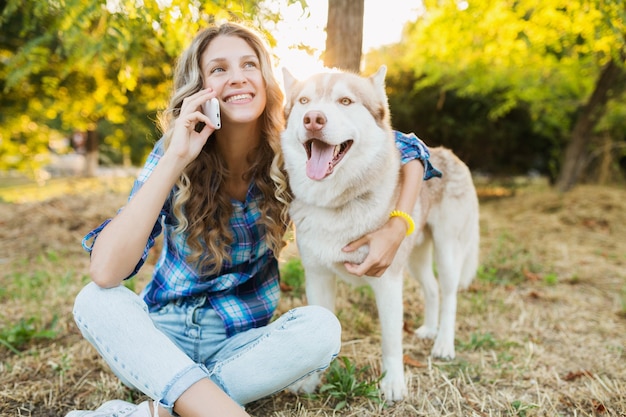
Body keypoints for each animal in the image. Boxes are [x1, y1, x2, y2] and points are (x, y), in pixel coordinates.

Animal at [280, 66, 480, 400]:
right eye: (304, 101)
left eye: (345, 101)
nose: (313, 119)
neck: (338, 205)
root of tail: (450, 154)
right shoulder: (317, 276)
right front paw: (310, 382)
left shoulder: (388, 281)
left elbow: (391, 339)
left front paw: (393, 384)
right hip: (414, 258)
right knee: (432, 289)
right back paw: (429, 329)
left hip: (447, 251)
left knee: (450, 295)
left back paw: (443, 343)